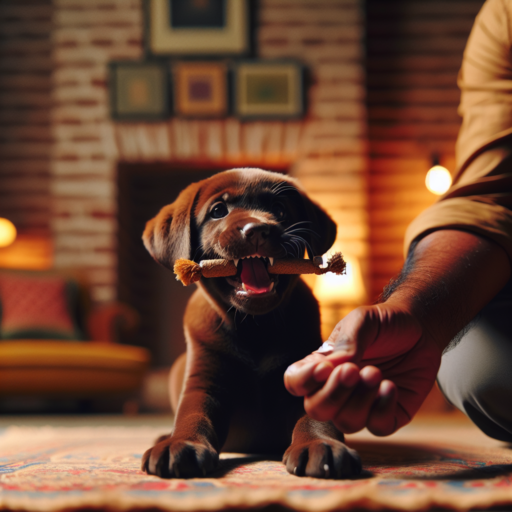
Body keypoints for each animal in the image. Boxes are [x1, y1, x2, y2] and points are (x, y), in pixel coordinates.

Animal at [140, 169, 360, 480]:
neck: (255, 327)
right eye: (218, 211)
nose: (257, 230)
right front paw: (180, 442)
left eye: (280, 209)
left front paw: (321, 444)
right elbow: (192, 415)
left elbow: (315, 418)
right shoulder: (203, 384)